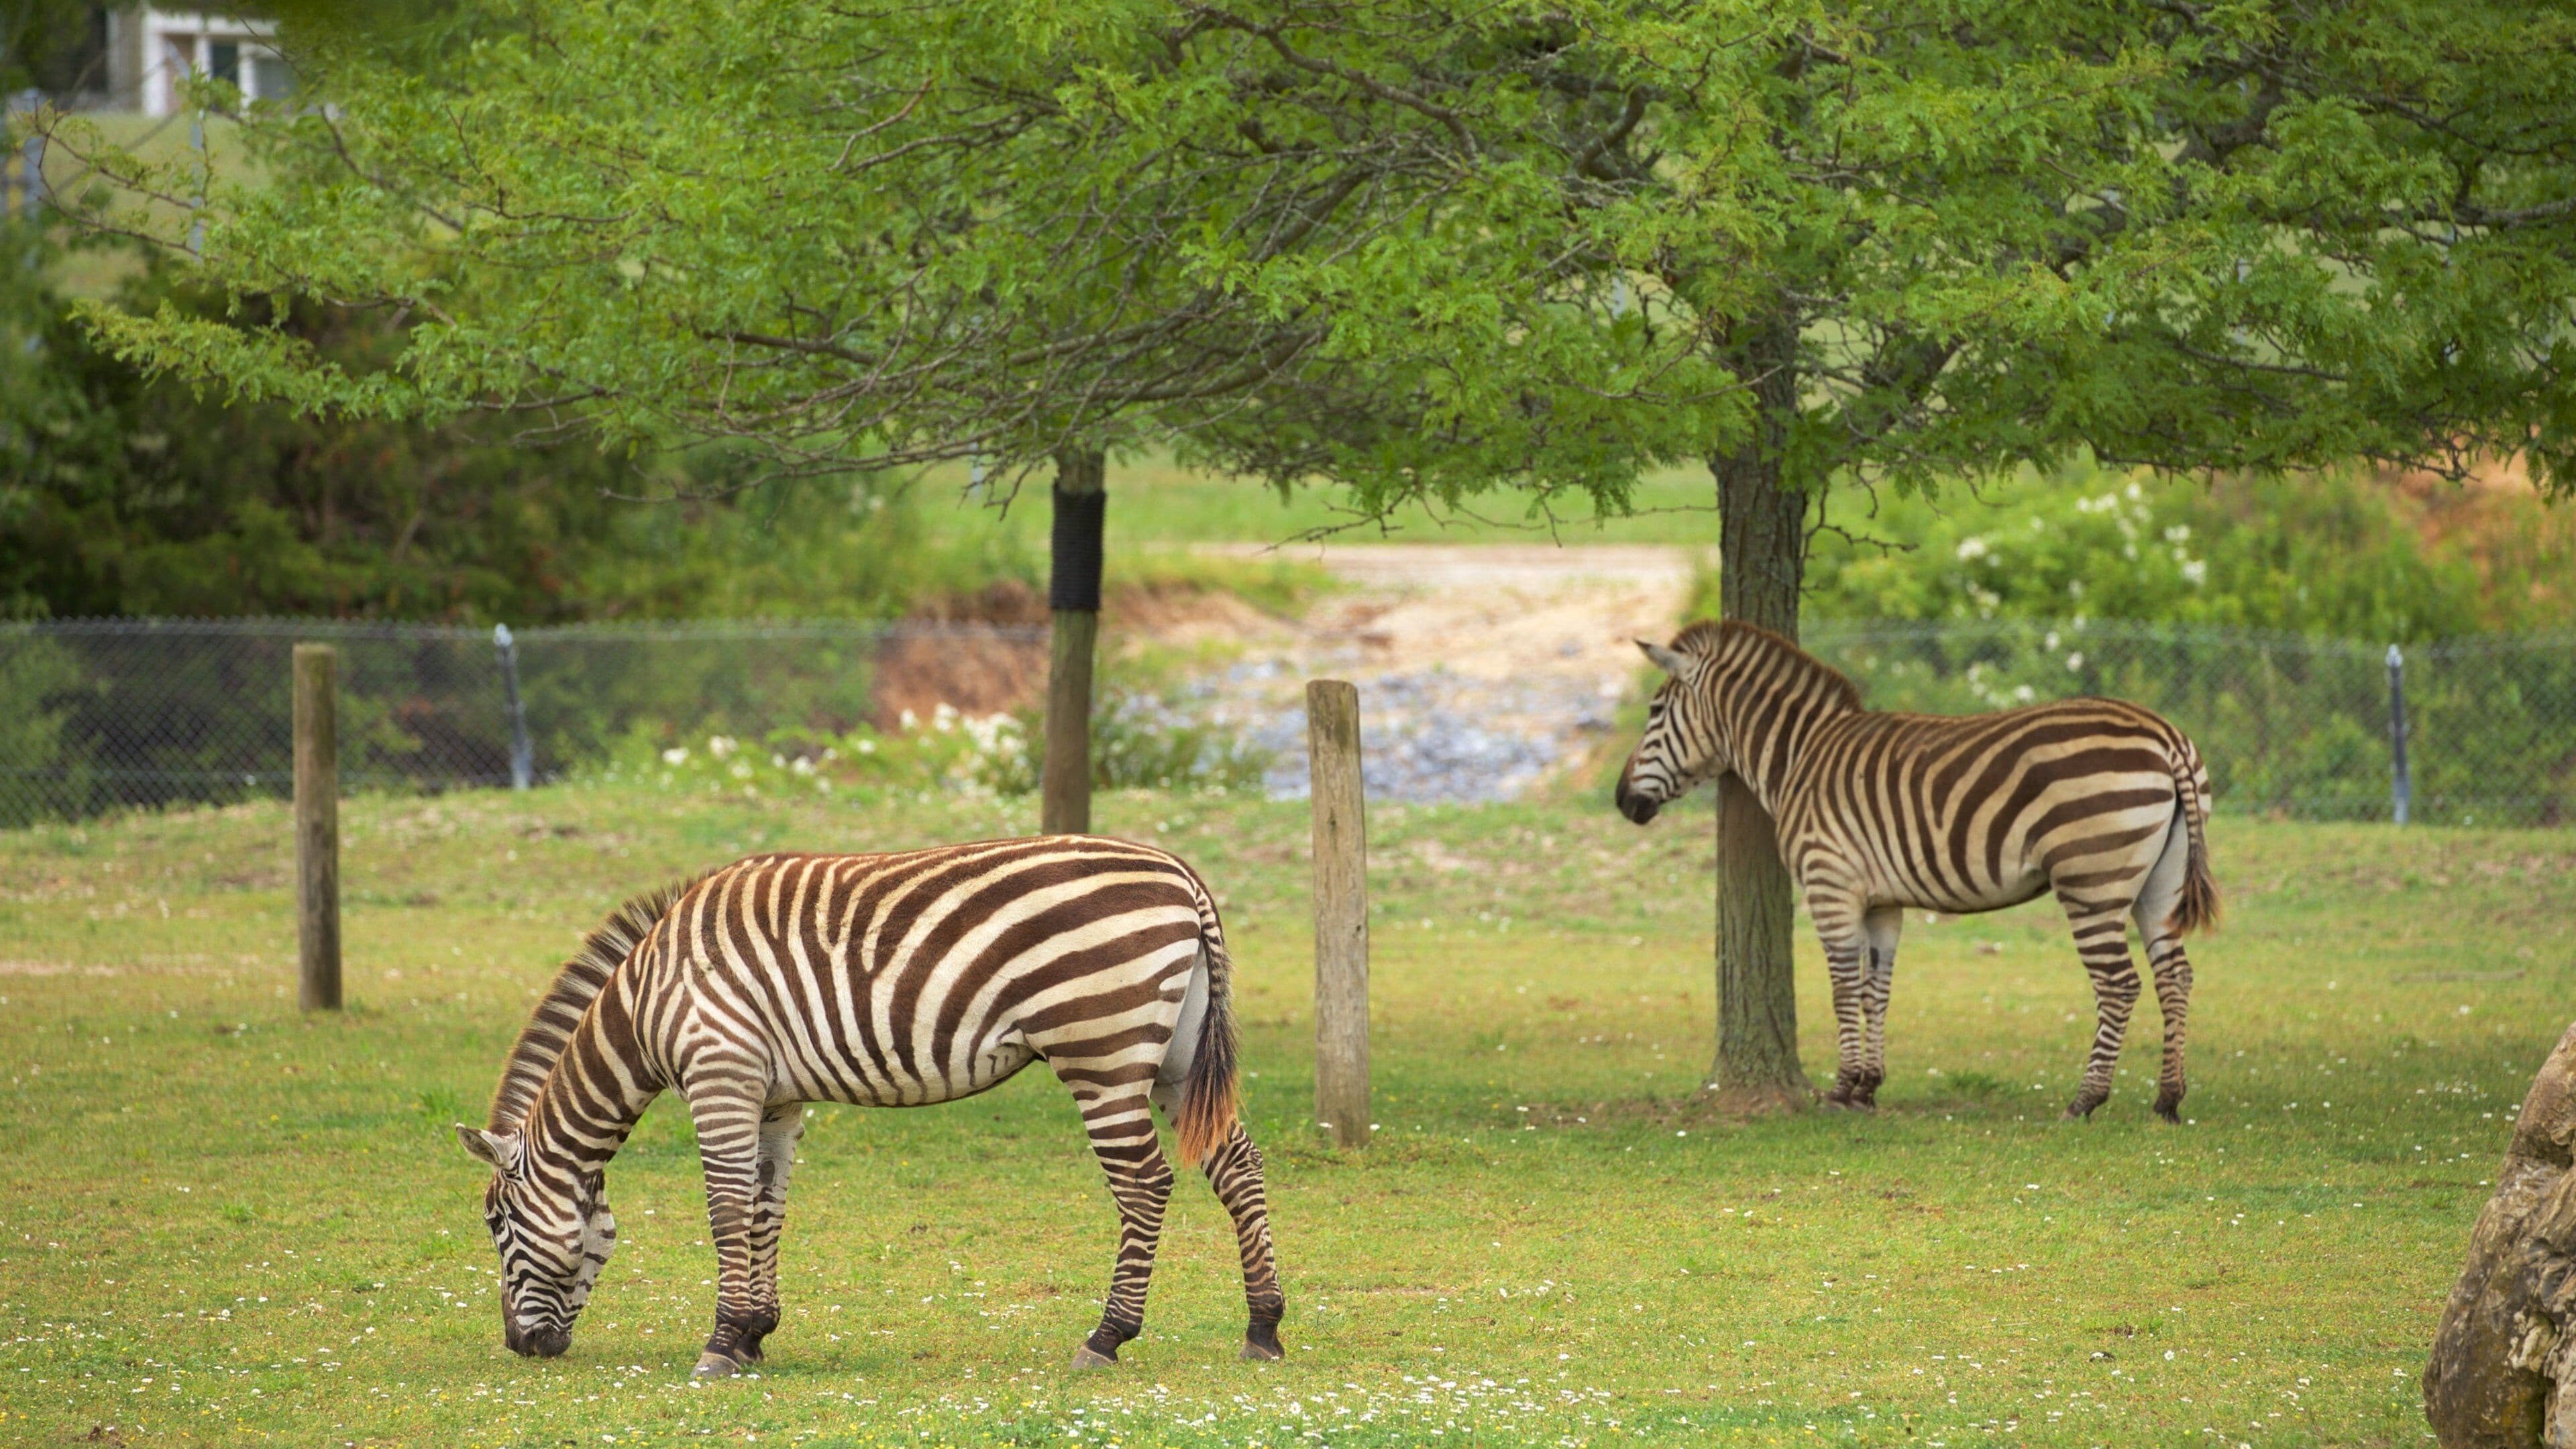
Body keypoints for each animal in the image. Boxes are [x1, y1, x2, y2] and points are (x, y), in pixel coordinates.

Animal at [451, 836, 1286, 1377]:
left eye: (497, 1226)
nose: (521, 1348)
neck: (650, 996)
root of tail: (1181, 873)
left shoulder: (722, 1075)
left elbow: (726, 1208)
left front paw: (719, 1345)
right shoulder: (776, 1099)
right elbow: (766, 1210)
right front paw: (754, 1334)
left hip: (1102, 1056)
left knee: (1146, 1185)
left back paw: (1107, 1337)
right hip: (1175, 1057)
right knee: (1238, 1166)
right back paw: (1264, 1326)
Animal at [1613, 620, 2218, 1121]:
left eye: (1653, 712)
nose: (1621, 801)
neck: (1801, 757)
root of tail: (2166, 737)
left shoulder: (1830, 885)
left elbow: (1842, 986)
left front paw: (1840, 1091)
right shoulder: (1883, 902)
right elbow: (1874, 990)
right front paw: (1867, 1088)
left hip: (2091, 882)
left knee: (2119, 985)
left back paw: (2085, 1100)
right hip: (2157, 885)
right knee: (2176, 976)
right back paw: (2169, 1098)